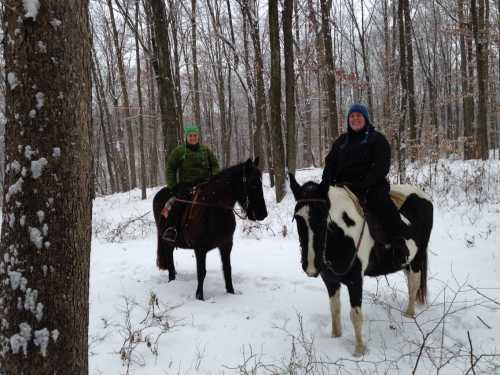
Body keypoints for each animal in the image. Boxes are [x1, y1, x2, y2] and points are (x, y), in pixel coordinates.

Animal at [152, 160, 270, 302]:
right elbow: (201, 272)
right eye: (253, 184)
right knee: (170, 260)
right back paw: (172, 281)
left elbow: (227, 269)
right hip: (167, 242)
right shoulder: (200, 249)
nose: (263, 213)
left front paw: (231, 292)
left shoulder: (226, 245)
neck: (213, 208)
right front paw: (199, 297)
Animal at [290, 175, 434, 356]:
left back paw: (409, 314)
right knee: (410, 284)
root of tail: (423, 196)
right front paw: (335, 336)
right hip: (406, 263)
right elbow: (334, 309)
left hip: (417, 257)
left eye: (322, 218)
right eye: (297, 218)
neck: (343, 235)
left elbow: (356, 315)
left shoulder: (355, 280)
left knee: (414, 283)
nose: (311, 266)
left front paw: (359, 351)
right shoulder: (330, 281)